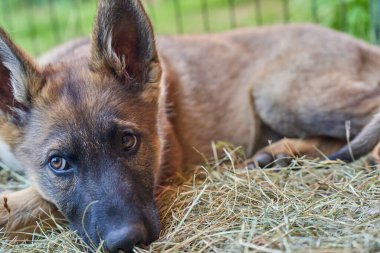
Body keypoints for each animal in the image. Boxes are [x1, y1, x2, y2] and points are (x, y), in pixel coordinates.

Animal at [0, 0, 380, 252]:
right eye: (58, 163)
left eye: (127, 142)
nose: (127, 241)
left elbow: (36, 202)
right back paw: (280, 153)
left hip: (278, 91)